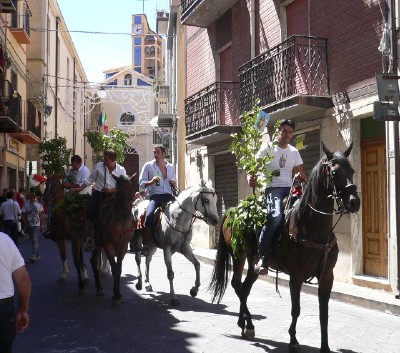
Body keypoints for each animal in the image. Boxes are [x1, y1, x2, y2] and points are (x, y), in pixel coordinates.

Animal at [90, 173, 135, 302]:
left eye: (131, 190)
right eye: (118, 191)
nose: (126, 214)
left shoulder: (123, 246)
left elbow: (118, 269)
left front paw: (118, 293)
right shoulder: (108, 244)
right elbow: (114, 269)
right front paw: (116, 296)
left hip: (97, 245)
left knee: (93, 261)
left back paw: (99, 287)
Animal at [208, 143, 360, 352]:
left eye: (352, 170)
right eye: (335, 172)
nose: (354, 202)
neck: (310, 226)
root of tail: (232, 211)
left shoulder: (327, 277)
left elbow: (324, 313)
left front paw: (325, 346)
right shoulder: (296, 276)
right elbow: (296, 309)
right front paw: (293, 340)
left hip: (254, 261)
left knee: (245, 288)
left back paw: (244, 323)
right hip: (238, 255)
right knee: (237, 285)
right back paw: (249, 324)